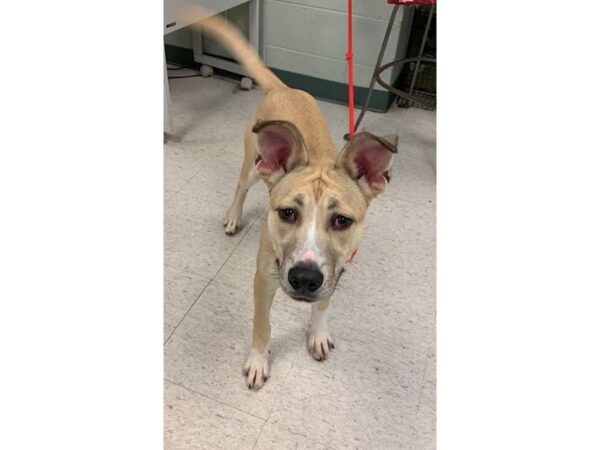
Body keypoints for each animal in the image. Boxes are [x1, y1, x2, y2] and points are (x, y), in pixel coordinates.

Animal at [183, 9, 398, 390]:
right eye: (287, 213)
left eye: (341, 220)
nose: (306, 279)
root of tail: (283, 88)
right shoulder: (263, 279)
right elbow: (262, 325)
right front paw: (258, 361)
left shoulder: (336, 272)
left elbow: (323, 306)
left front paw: (317, 333)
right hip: (253, 165)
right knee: (240, 186)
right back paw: (233, 217)